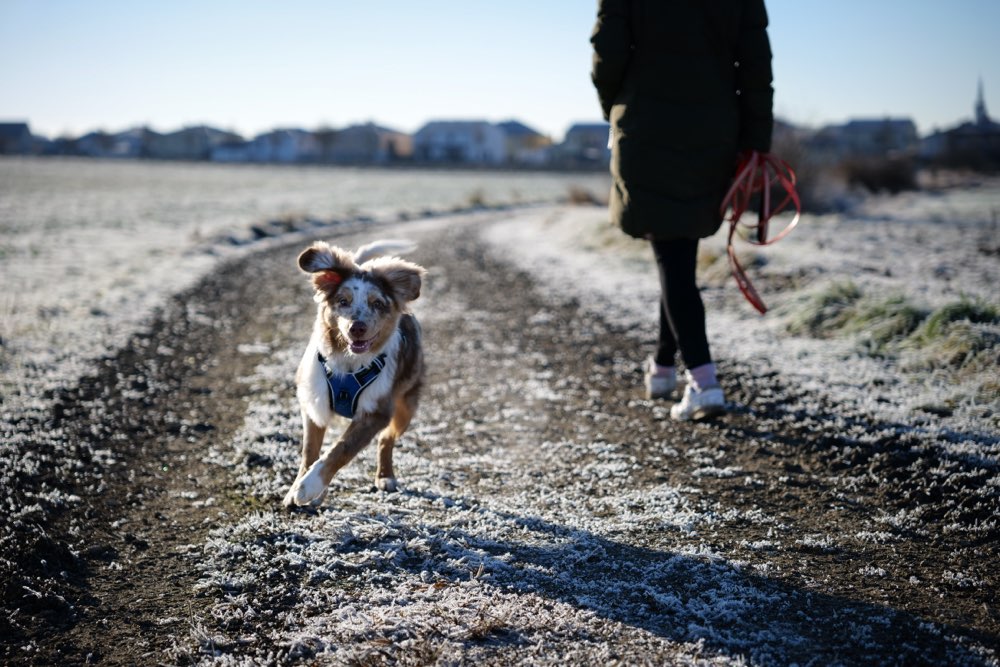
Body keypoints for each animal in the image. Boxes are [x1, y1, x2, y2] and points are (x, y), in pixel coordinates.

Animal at [284, 240, 424, 506]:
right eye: (343, 301)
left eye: (377, 304)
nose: (356, 328)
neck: (347, 363)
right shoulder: (313, 401)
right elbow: (310, 451)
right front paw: (298, 488)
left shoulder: (376, 411)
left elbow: (342, 448)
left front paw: (309, 486)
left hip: (406, 406)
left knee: (386, 438)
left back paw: (385, 476)